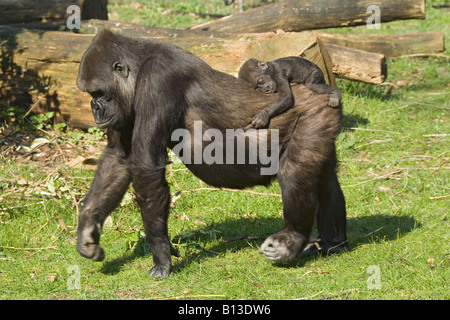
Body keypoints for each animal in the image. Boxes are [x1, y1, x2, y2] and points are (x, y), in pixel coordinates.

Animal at [75, 30, 346, 280]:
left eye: (98, 93)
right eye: (90, 94)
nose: (94, 108)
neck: (141, 62)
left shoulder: (159, 79)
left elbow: (145, 165)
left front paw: (161, 253)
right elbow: (119, 159)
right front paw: (87, 230)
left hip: (314, 111)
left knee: (294, 172)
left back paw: (292, 238)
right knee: (325, 178)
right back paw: (333, 241)